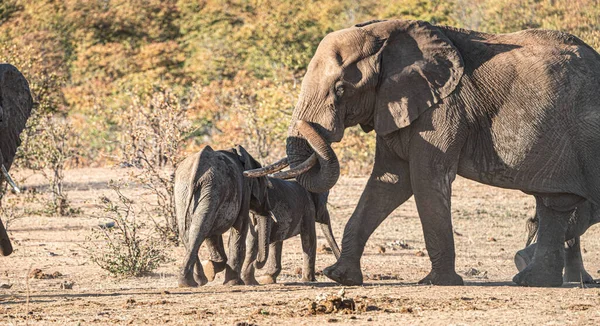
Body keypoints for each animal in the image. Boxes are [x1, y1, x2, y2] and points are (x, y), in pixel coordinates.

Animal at [172, 145, 268, 288]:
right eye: (266, 187)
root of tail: (196, 168)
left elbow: (212, 234)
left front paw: (212, 268)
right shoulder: (244, 188)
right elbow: (240, 226)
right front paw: (234, 283)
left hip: (185, 190)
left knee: (192, 230)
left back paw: (193, 282)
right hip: (213, 187)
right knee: (200, 228)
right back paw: (193, 282)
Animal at [246, 19, 600, 286]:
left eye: (341, 89)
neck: (384, 35)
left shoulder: (445, 108)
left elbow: (424, 179)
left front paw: (439, 282)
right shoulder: (395, 103)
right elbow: (389, 181)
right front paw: (340, 277)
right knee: (555, 204)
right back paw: (533, 281)